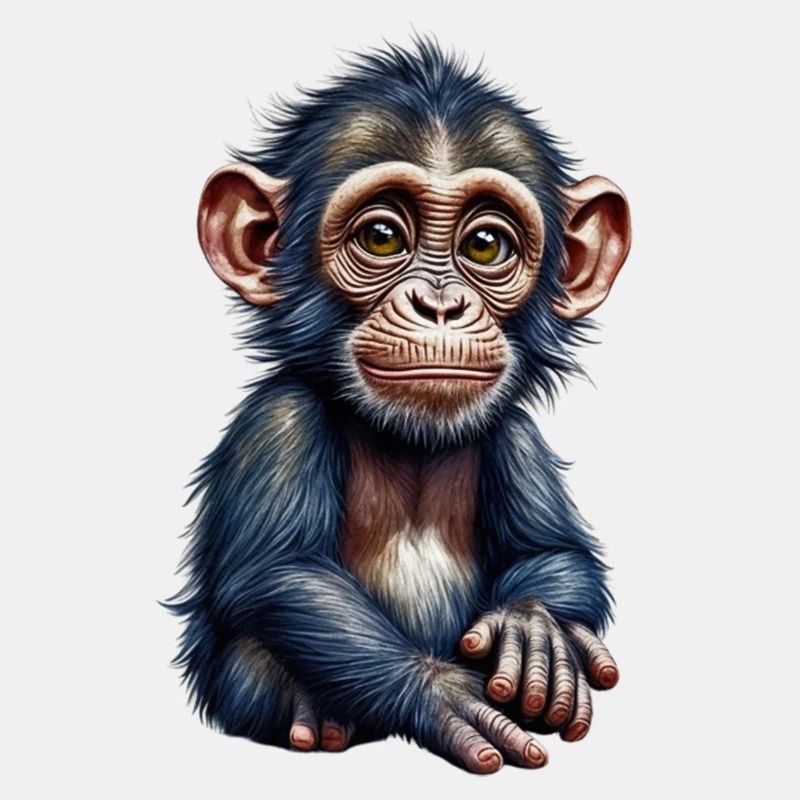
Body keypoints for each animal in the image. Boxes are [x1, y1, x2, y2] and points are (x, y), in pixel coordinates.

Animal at [166, 38, 631, 774]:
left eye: (485, 246)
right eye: (382, 236)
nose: (440, 305)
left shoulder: (518, 435)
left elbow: (556, 548)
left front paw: (534, 628)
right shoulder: (279, 422)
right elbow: (282, 571)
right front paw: (440, 691)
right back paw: (315, 718)